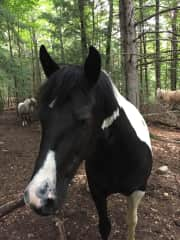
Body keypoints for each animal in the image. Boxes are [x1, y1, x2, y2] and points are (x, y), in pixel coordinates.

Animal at [23, 45, 152, 240]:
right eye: (41, 116)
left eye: (83, 119)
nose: (37, 197)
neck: (118, 157)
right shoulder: (98, 193)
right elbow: (104, 226)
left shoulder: (137, 191)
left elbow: (132, 222)